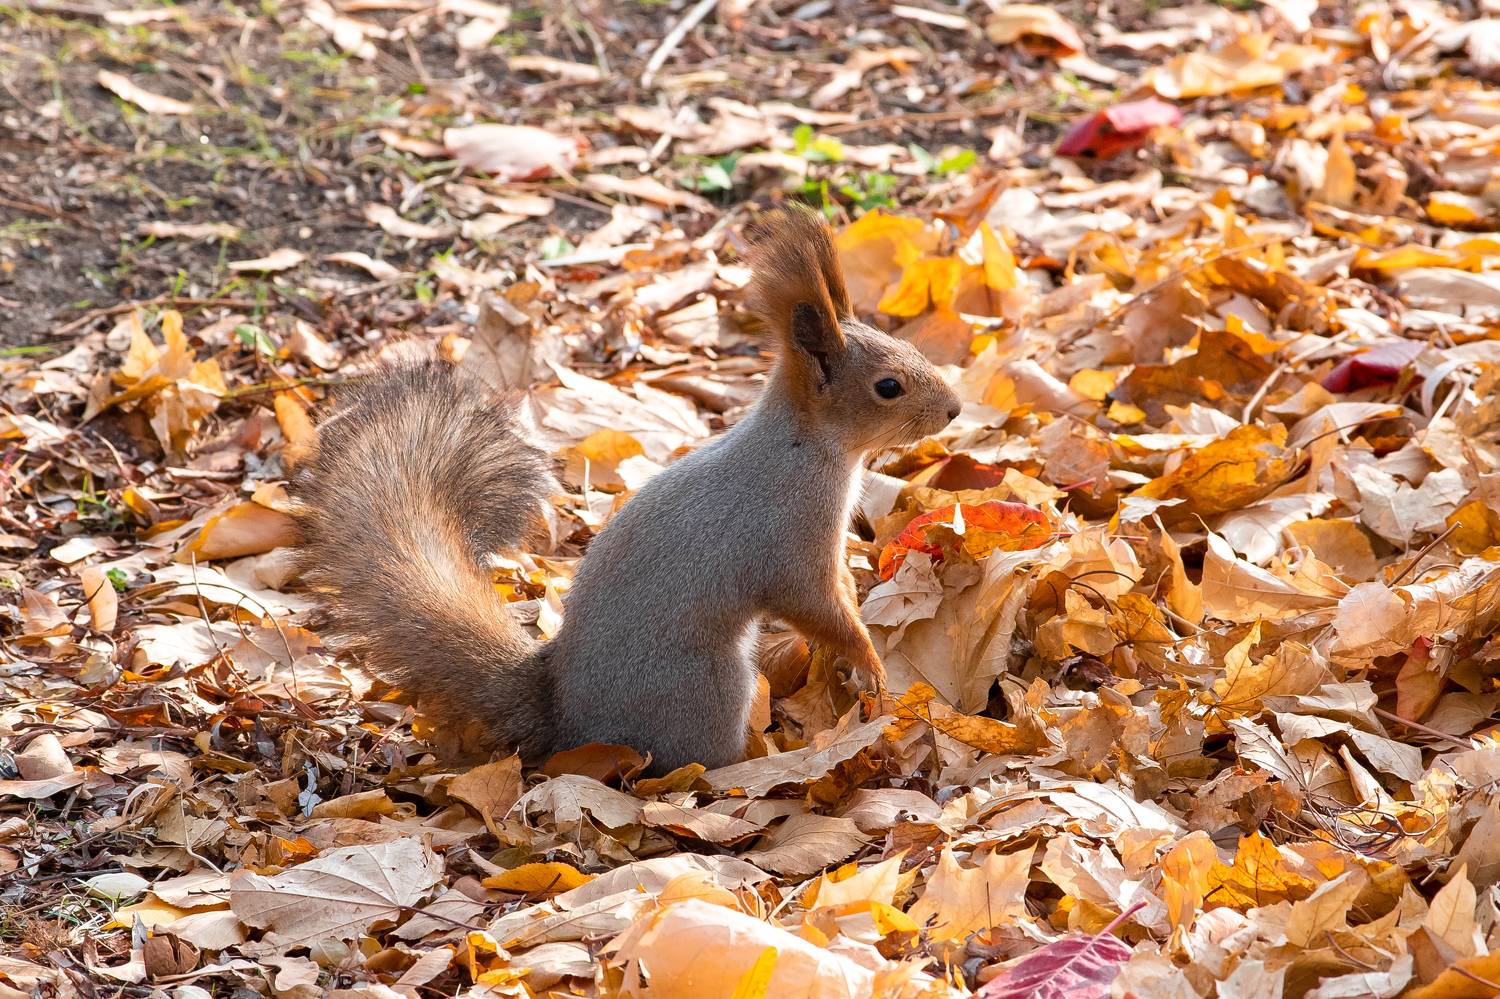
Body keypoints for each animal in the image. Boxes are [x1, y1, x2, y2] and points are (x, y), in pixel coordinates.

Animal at [292, 206, 962, 773]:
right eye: (888, 387)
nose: (954, 409)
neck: (804, 448)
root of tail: (571, 721)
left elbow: (841, 589)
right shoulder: (785, 536)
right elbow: (815, 605)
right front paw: (868, 661)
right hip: (706, 687)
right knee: (698, 762)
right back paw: (763, 759)